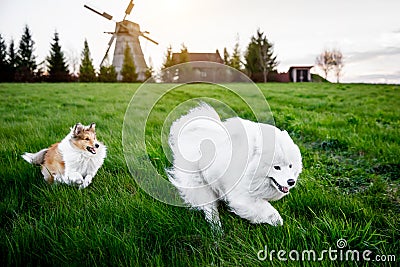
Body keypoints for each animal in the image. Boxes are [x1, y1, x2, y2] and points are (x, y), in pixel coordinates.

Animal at [167, 103, 302, 229]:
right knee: (209, 208)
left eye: (290, 166)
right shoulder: (242, 196)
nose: (291, 181)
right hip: (200, 183)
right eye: (276, 167)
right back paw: (216, 228)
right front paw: (278, 222)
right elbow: (267, 211)